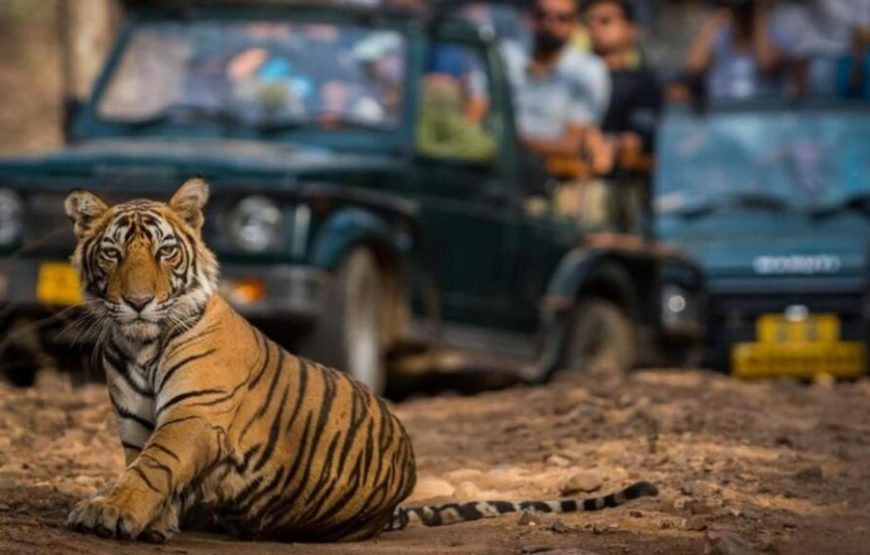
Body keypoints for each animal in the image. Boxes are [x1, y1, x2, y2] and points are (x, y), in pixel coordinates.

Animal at [63, 180, 660, 544]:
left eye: (165, 251)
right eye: (112, 253)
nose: (139, 302)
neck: (139, 343)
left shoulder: (195, 414)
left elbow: (154, 466)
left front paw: (111, 512)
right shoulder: (136, 422)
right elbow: (143, 466)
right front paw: (148, 519)